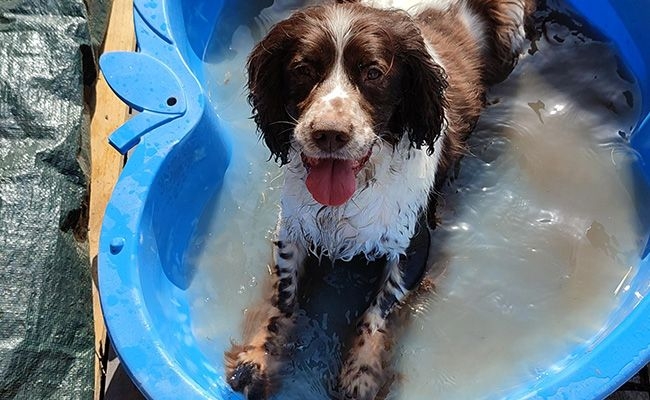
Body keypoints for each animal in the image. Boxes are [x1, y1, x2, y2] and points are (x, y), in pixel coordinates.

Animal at [225, 1, 536, 398]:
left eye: (373, 73)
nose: (329, 134)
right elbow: (283, 298)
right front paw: (257, 359)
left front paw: (361, 373)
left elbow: (378, 309)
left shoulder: (412, 242)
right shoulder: (292, 228)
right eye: (303, 70)